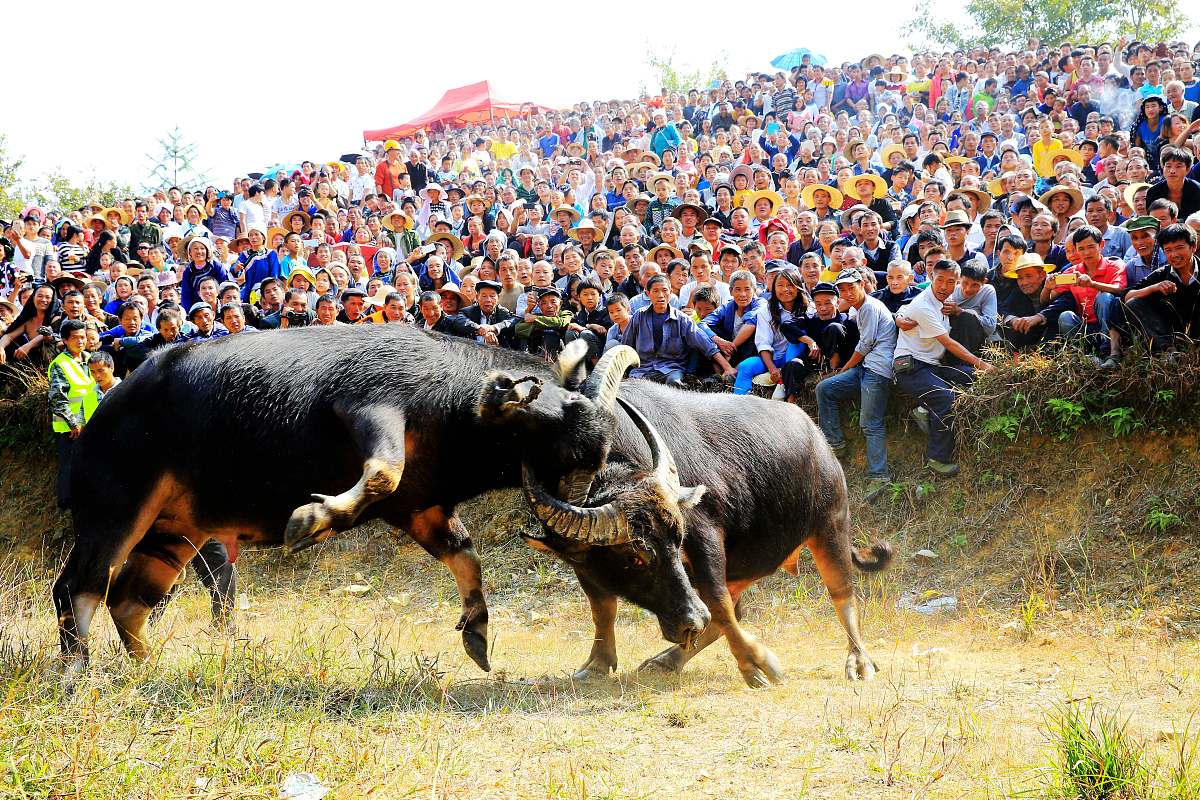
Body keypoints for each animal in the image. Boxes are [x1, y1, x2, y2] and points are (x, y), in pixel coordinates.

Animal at [52, 325, 711, 685]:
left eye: (597, 455)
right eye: (568, 448)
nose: (579, 506)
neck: (455, 411)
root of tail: (104, 411)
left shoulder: (423, 508)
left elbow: (464, 553)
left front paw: (477, 633)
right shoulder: (371, 409)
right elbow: (381, 473)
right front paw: (308, 520)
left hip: (177, 531)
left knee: (129, 600)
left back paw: (146, 667)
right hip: (118, 510)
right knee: (81, 587)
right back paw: (77, 672)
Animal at [519, 356, 894, 687]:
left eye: (677, 542)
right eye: (634, 557)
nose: (691, 621)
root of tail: (819, 440)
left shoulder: (705, 536)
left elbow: (717, 602)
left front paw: (757, 665)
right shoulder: (582, 561)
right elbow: (602, 608)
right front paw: (596, 663)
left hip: (831, 526)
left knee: (842, 595)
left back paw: (859, 662)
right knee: (735, 607)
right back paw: (668, 659)